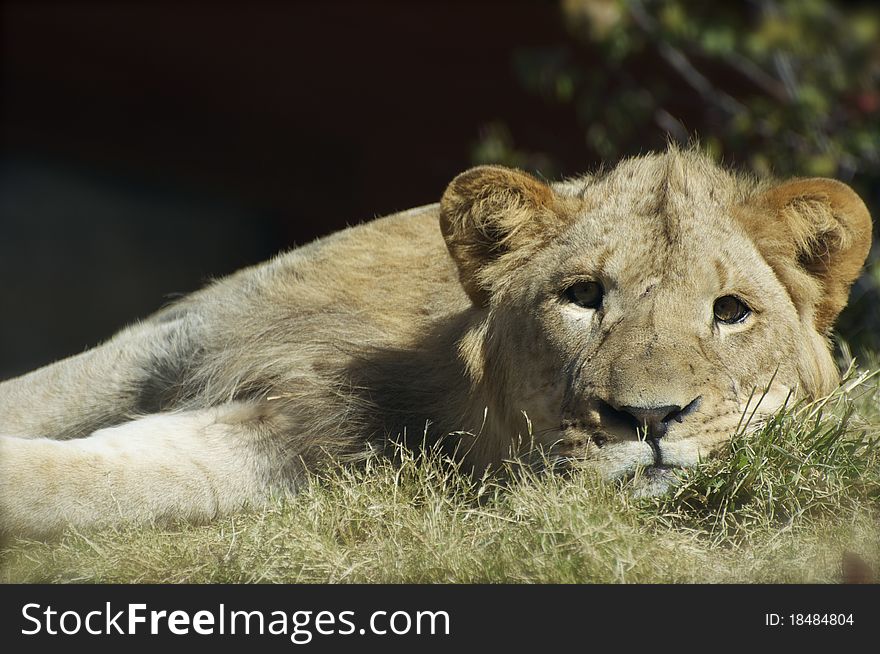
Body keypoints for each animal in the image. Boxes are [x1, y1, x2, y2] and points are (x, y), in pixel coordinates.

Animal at [0, 149, 868, 540]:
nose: (651, 419)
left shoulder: (308, 447)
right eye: (584, 296)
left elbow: (111, 478)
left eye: (731, 312)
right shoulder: (182, 338)